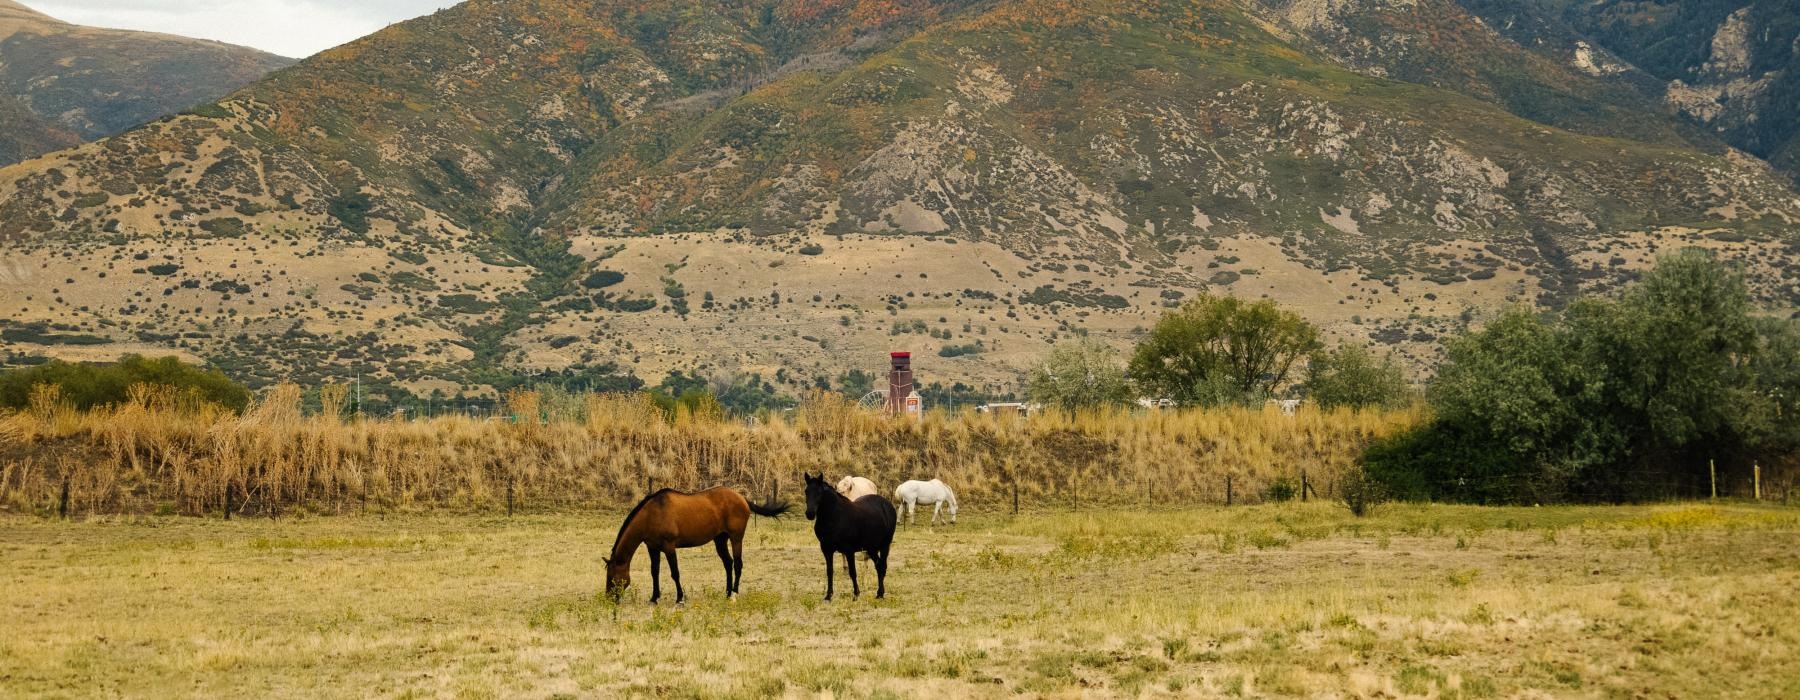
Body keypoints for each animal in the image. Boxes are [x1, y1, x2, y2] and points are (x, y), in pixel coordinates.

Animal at [604, 487, 789, 604]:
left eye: (611, 577)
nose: (609, 598)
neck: (652, 513)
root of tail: (742, 498)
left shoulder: (669, 547)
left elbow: (675, 573)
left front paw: (680, 598)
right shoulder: (653, 548)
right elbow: (654, 572)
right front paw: (654, 598)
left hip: (736, 538)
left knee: (737, 564)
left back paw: (734, 593)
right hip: (720, 539)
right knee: (728, 563)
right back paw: (727, 592)